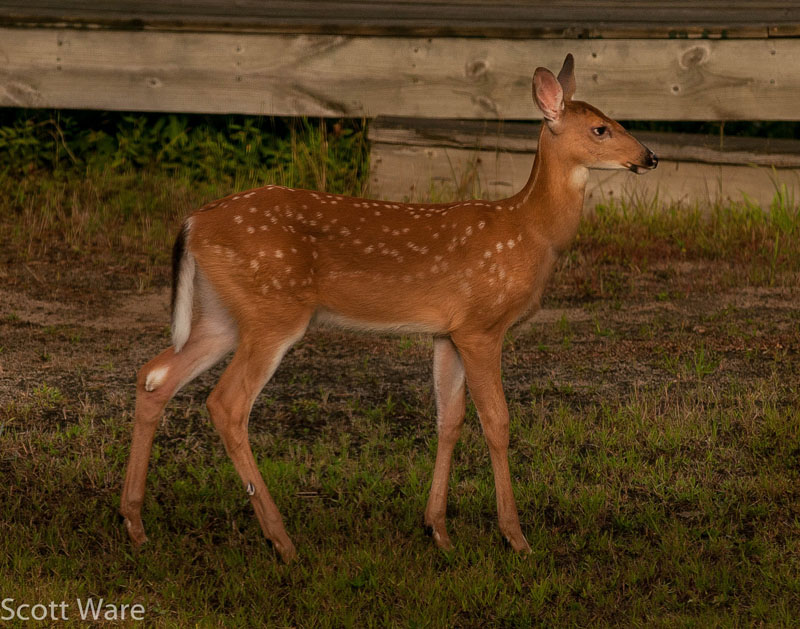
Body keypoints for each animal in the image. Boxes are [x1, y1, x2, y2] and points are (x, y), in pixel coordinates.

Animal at [120, 54, 657, 562]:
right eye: (601, 128)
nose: (650, 157)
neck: (531, 232)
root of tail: (192, 222)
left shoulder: (447, 331)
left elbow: (449, 419)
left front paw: (438, 531)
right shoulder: (482, 326)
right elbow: (497, 422)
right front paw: (515, 537)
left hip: (222, 315)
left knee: (155, 376)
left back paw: (136, 525)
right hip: (272, 312)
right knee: (226, 403)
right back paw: (282, 541)